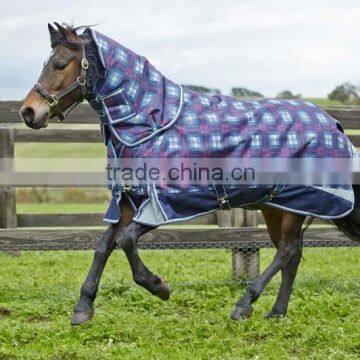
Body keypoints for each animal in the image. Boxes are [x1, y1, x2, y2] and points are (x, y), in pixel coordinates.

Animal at [19, 23, 360, 326]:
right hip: (277, 206)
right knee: (291, 254)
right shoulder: (130, 201)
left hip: (295, 205)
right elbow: (104, 246)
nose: (28, 112)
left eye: (60, 64)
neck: (152, 124)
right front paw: (83, 309)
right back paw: (276, 314)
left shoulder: (165, 204)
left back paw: (244, 305)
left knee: (287, 252)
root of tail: (334, 125)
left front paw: (160, 287)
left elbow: (126, 241)